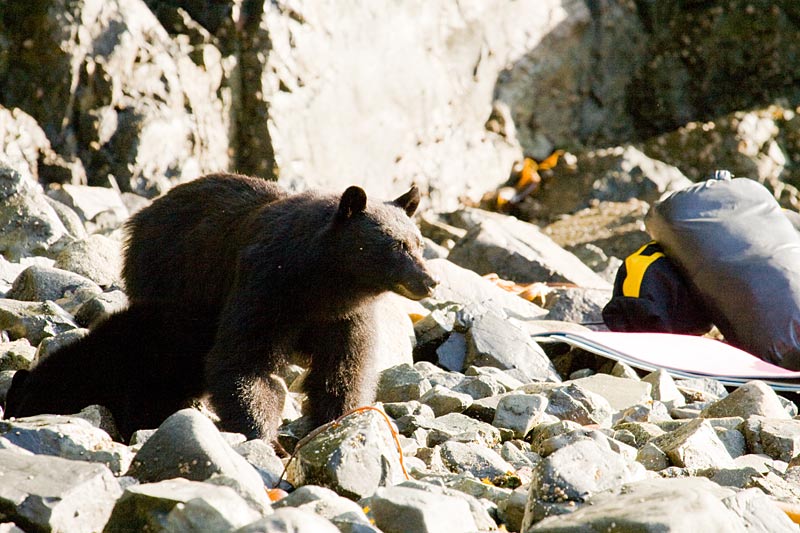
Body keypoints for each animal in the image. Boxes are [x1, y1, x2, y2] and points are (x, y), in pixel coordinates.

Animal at [125, 172, 438, 438]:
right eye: (397, 245)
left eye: (419, 243)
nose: (430, 280)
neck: (324, 285)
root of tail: (145, 213)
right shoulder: (267, 287)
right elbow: (246, 359)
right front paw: (260, 434)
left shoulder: (346, 317)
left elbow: (343, 369)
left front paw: (337, 420)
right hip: (169, 279)